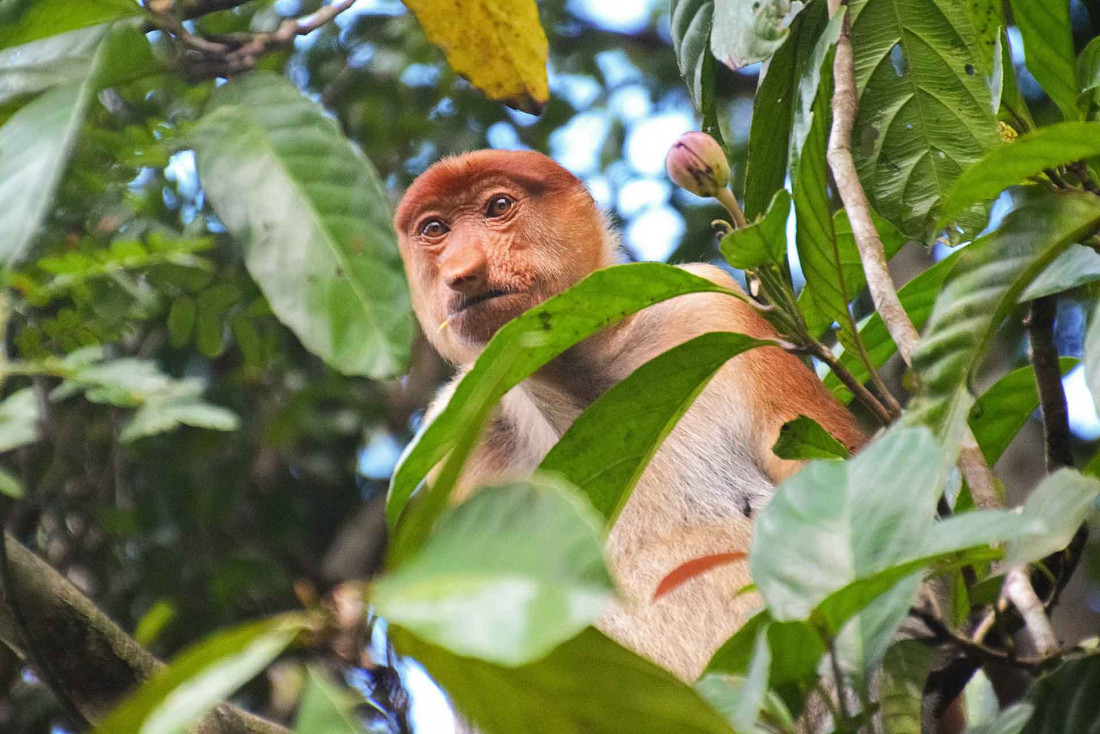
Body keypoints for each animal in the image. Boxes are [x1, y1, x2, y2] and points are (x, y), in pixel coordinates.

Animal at [391, 151, 862, 686]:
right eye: (434, 229)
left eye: (498, 206)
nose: (463, 272)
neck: (587, 383)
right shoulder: (453, 439)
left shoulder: (713, 309)